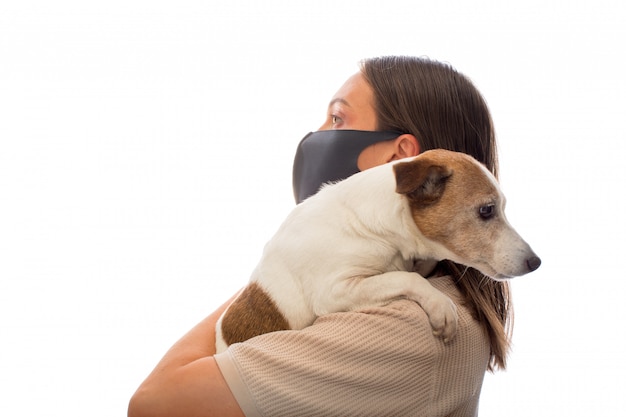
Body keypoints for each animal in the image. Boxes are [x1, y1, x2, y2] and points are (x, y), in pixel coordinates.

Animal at [213, 149, 536, 352]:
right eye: (486, 210)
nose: (536, 262)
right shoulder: (334, 291)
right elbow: (405, 278)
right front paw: (440, 305)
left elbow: (413, 269)